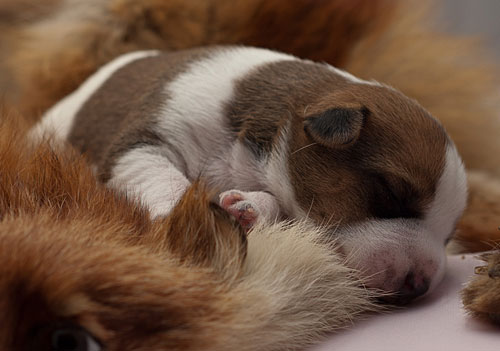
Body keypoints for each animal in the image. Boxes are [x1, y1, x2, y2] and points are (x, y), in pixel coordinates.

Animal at [32, 45, 468, 304]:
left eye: (449, 236)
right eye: (391, 194)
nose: (421, 284)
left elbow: (274, 206)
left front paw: (248, 208)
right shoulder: (146, 142)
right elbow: (163, 178)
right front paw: (189, 215)